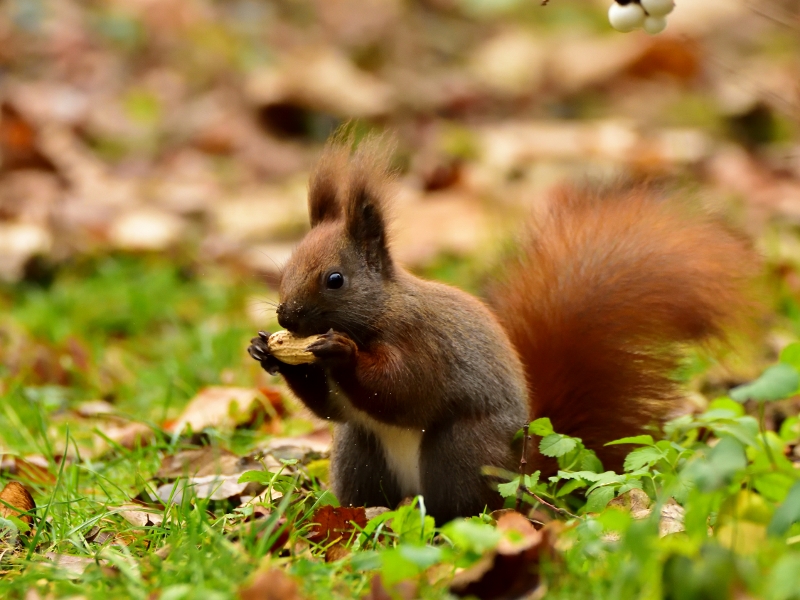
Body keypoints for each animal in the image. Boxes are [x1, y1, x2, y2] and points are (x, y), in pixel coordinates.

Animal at [248, 136, 756, 524]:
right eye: (287, 268)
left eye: (335, 280)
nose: (286, 318)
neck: (381, 313)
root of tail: (526, 473)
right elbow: (330, 407)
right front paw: (266, 351)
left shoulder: (427, 342)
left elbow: (405, 390)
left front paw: (341, 352)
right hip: (360, 453)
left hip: (461, 452)